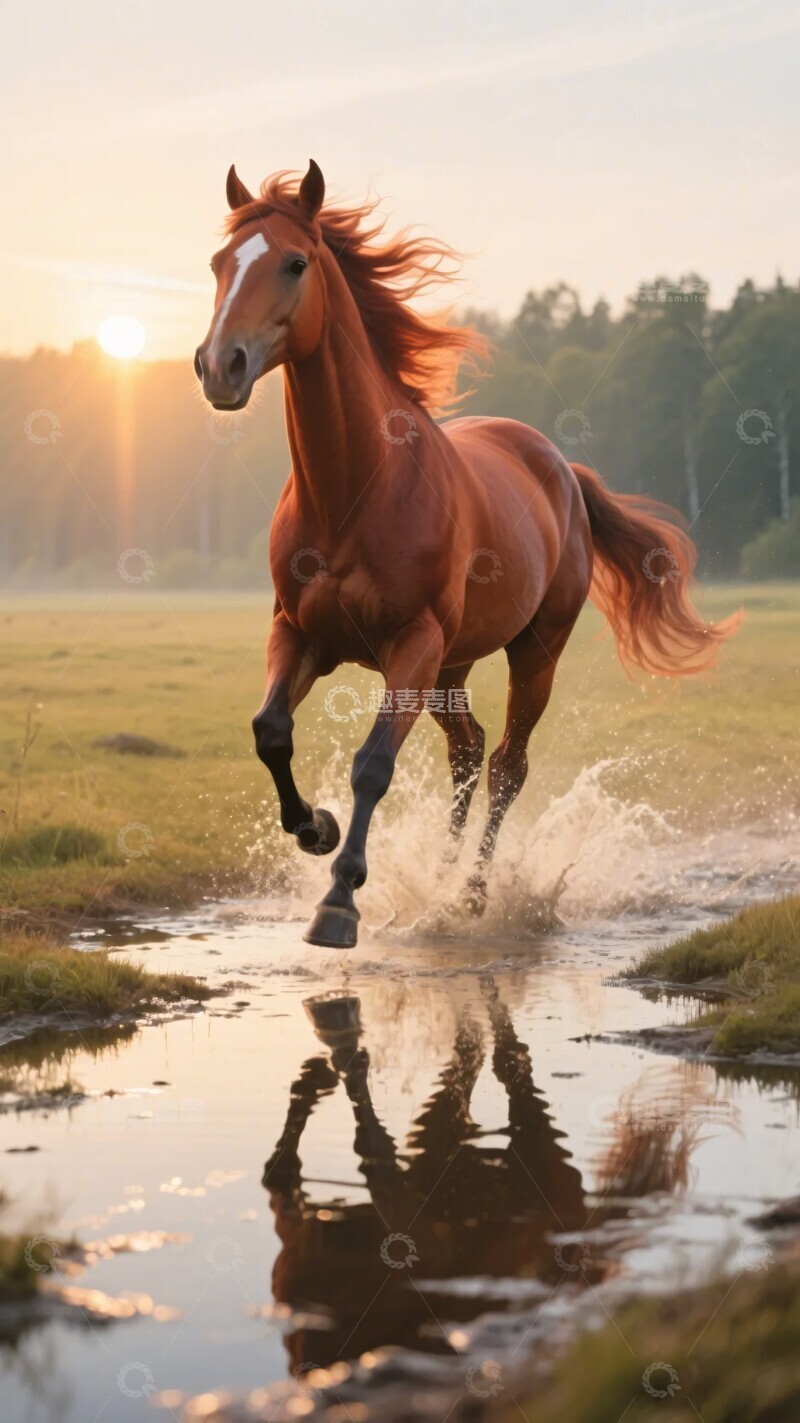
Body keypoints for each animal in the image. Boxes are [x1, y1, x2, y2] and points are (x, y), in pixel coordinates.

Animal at [195, 160, 740, 949]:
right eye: (218, 263)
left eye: (294, 263)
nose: (220, 368)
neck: (355, 489)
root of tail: (561, 469)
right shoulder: (299, 634)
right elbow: (270, 733)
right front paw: (315, 829)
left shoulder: (412, 643)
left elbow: (373, 764)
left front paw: (339, 901)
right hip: (451, 665)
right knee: (469, 749)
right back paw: (442, 879)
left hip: (530, 652)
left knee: (508, 762)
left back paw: (475, 894)